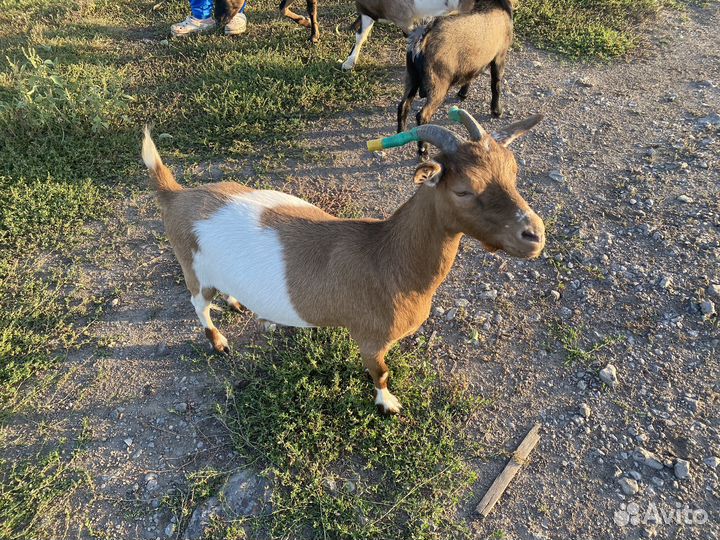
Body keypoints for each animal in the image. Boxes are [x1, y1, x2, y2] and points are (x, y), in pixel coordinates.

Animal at [141, 108, 544, 414]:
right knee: (198, 303)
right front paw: (388, 405)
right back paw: (218, 341)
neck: (387, 257)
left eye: (513, 173)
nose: (534, 235)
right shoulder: (371, 339)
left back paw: (237, 302)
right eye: (463, 190)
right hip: (191, 264)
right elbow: (381, 373)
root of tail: (175, 196)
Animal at [398, 0, 514, 157]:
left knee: (403, 104)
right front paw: (496, 111)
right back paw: (423, 149)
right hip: (438, 85)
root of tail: (421, 39)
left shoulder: (471, 63)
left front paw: (463, 94)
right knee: (422, 115)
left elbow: (469, 78)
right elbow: (496, 84)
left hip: (412, 76)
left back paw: (401, 133)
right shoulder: (499, 56)